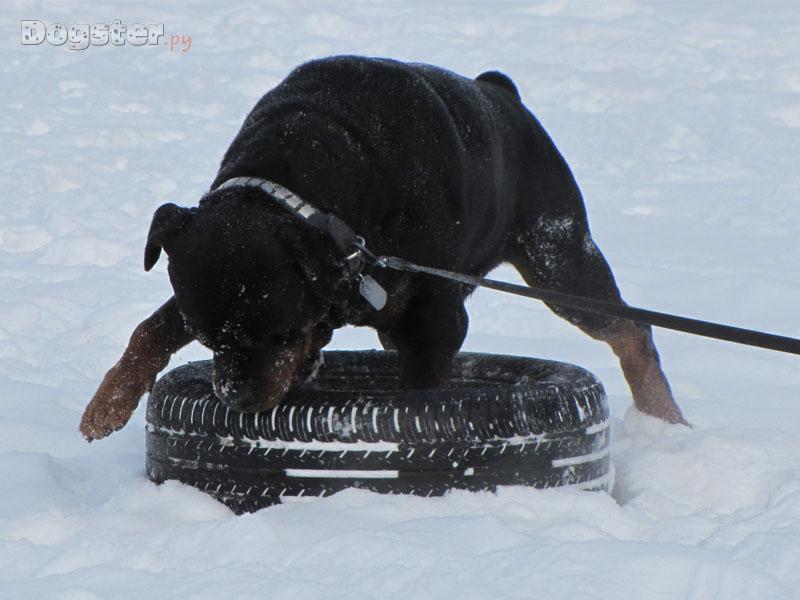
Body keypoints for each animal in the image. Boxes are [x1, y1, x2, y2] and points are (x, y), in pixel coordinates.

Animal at [80, 56, 687, 441]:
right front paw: (105, 406)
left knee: (630, 328)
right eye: (207, 340)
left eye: (281, 333)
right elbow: (151, 328)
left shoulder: (435, 319)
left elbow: (421, 396)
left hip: (557, 253)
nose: (236, 399)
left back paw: (666, 418)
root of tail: (500, 91)